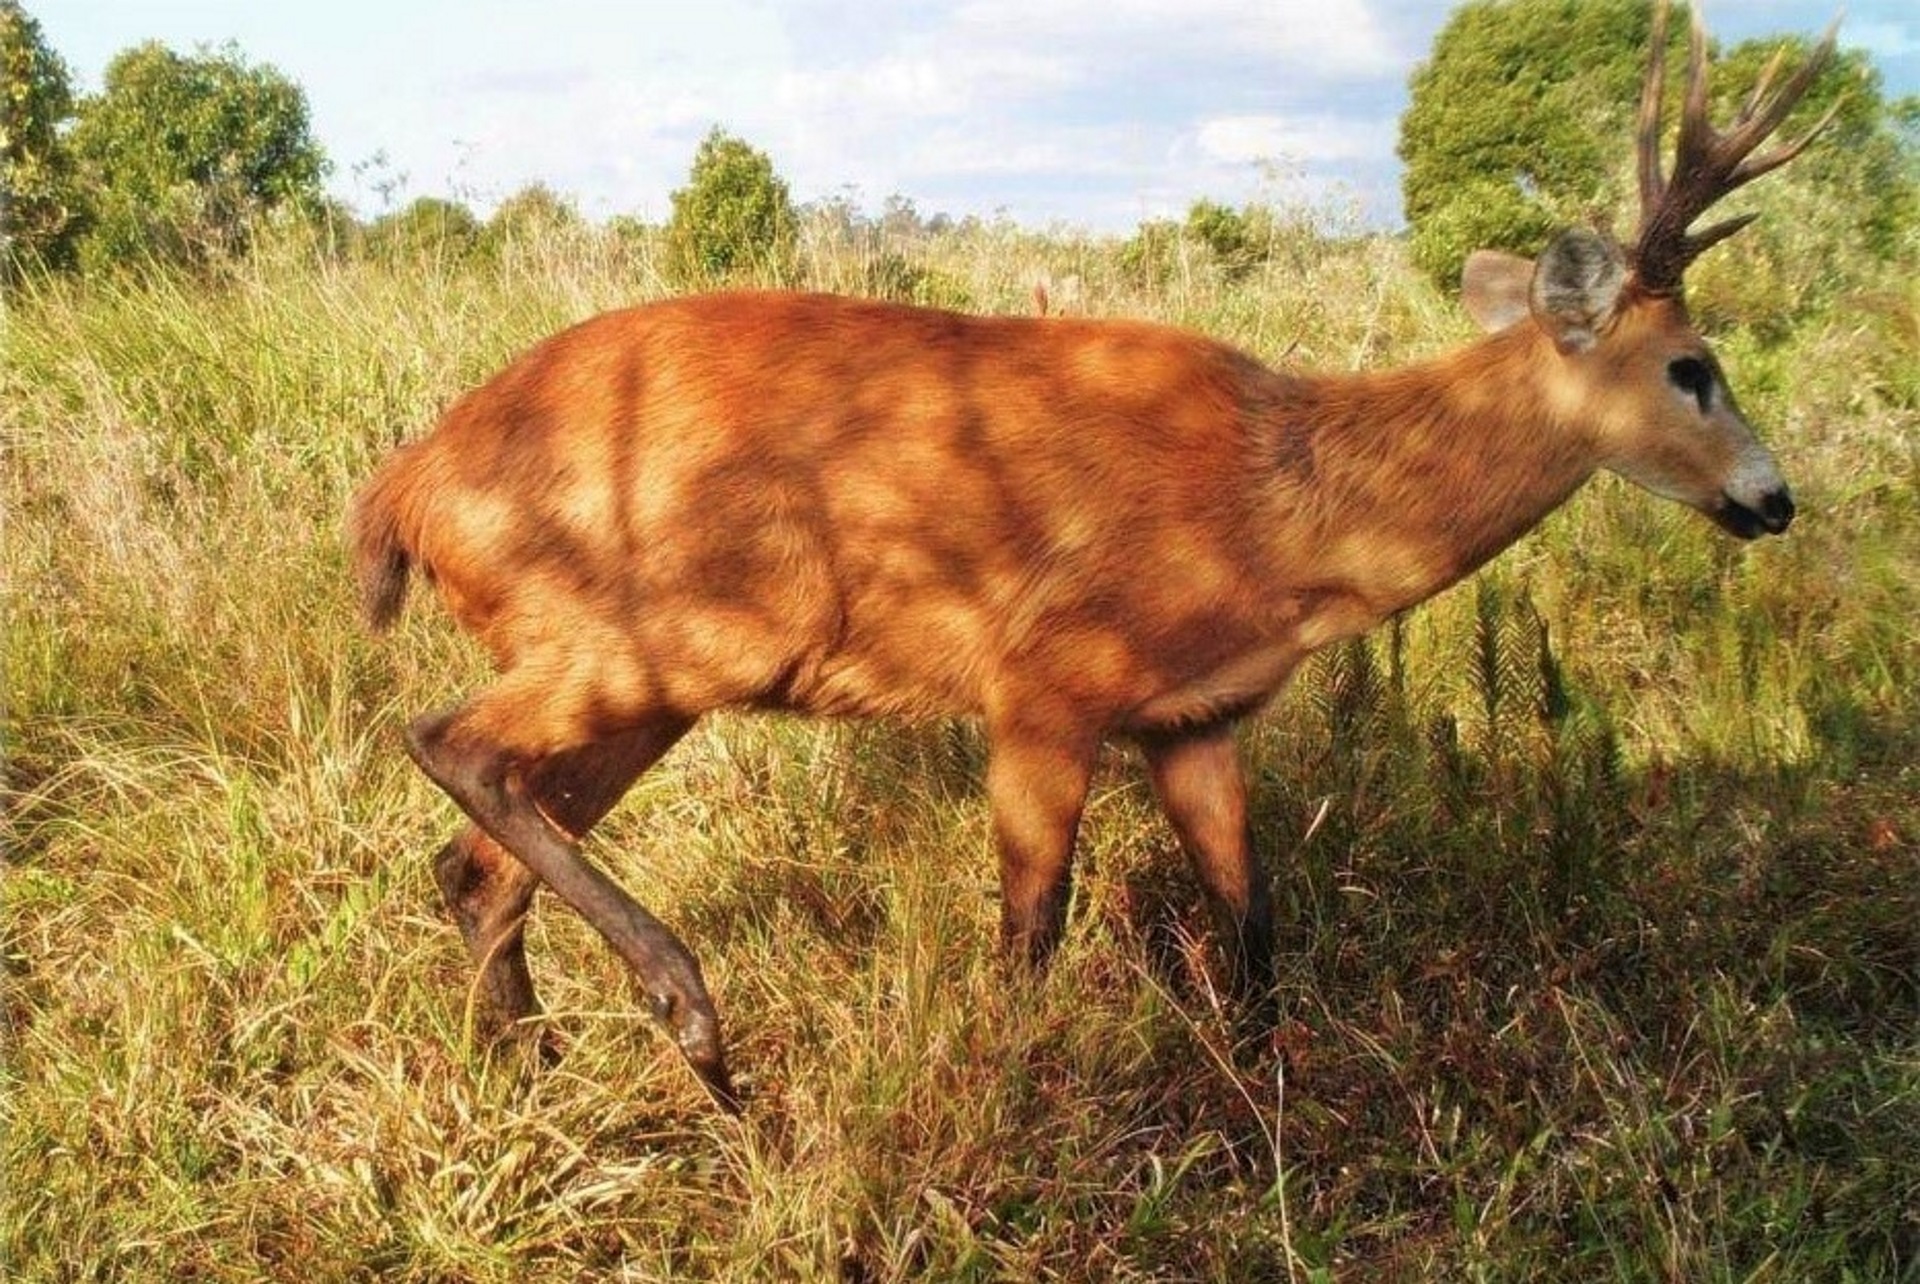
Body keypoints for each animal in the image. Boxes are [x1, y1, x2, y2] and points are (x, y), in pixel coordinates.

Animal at [353, 0, 1835, 1105]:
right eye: (1693, 366)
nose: (1776, 501)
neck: (1278, 507)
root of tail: (407, 487)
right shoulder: (1043, 685)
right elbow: (1030, 939)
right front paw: (1012, 1104)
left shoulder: (1197, 719)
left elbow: (1252, 925)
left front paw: (1265, 1096)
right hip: (680, 631)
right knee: (448, 743)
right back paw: (694, 1019)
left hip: (648, 676)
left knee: (478, 862)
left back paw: (537, 1075)